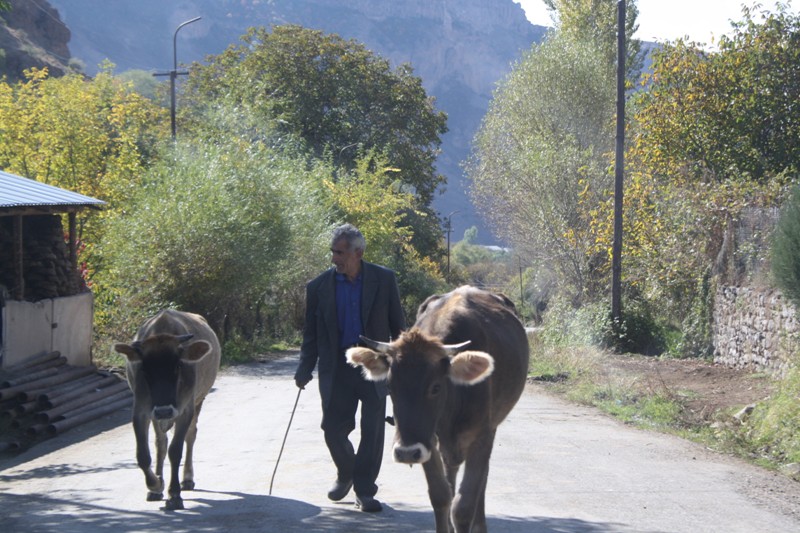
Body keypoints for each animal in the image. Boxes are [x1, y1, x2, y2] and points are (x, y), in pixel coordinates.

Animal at [114, 310, 220, 510]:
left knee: (190, 436)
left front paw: (174, 494)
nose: (164, 411)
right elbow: (143, 454)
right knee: (160, 443)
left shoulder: (185, 410)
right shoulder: (141, 410)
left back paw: (187, 478)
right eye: (145, 370)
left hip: (198, 401)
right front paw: (155, 484)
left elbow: (176, 450)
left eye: (178, 366)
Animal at [346, 286, 528, 532]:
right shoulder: (428, 440)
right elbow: (441, 496)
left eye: (435, 387)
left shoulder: (482, 435)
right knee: (451, 475)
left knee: (481, 482)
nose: (406, 452)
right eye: (389, 386)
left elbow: (464, 505)